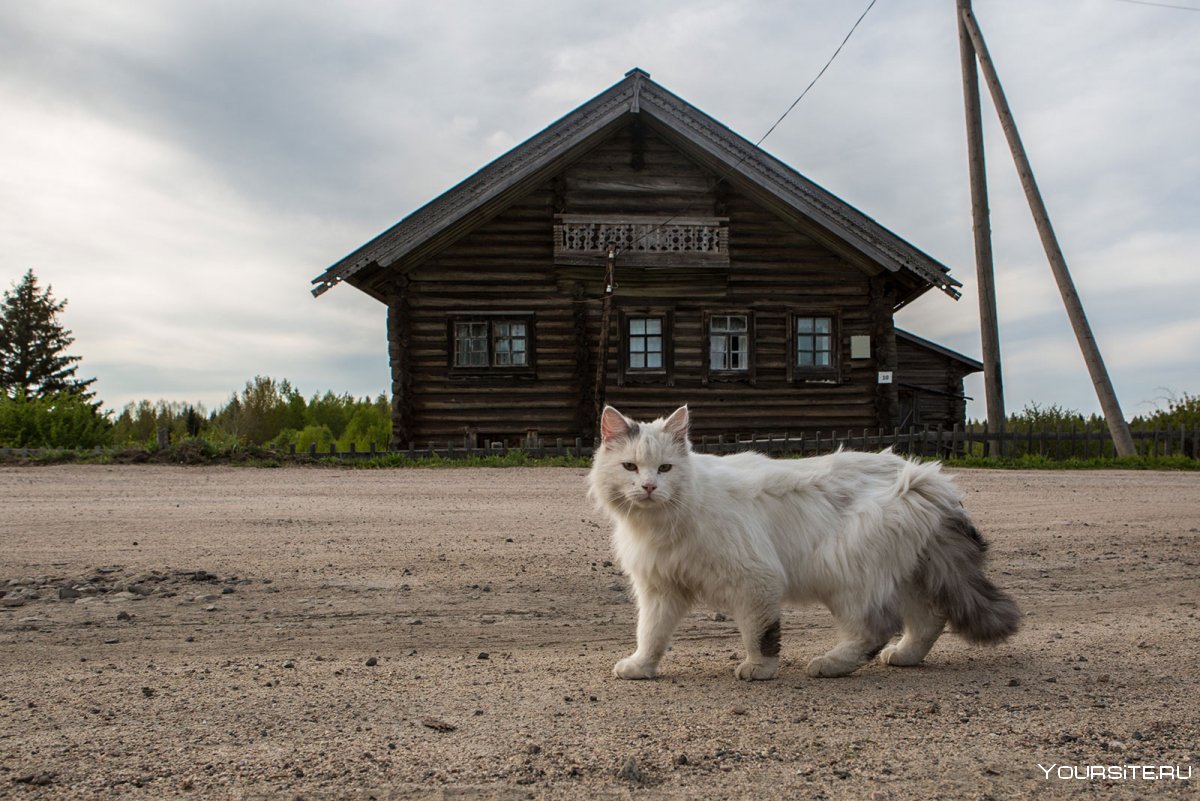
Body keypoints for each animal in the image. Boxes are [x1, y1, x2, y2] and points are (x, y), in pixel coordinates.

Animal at [585, 407, 1017, 681]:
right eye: (630, 467)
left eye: (665, 468)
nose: (648, 487)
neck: (664, 521)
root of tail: (925, 476)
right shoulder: (660, 589)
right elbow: (651, 634)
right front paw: (641, 667)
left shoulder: (755, 581)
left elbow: (759, 634)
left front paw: (759, 669)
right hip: (902, 574)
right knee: (927, 620)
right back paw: (905, 656)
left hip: (845, 571)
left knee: (876, 629)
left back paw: (831, 664)